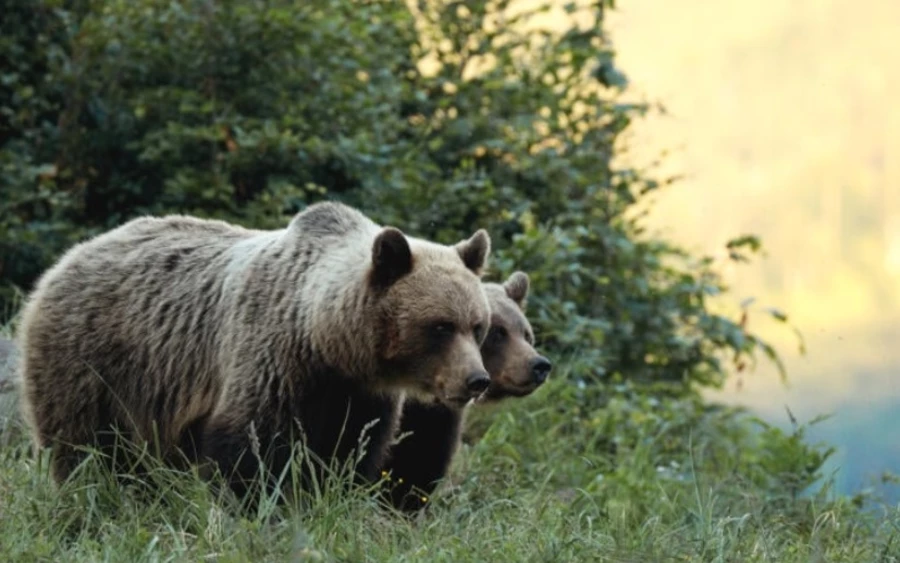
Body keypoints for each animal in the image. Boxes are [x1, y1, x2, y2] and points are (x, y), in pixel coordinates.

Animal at [14, 202, 492, 502]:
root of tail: (69, 256)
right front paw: (258, 507)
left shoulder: (354, 394)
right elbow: (251, 446)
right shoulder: (272, 354)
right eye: (440, 326)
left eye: (477, 325)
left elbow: (351, 452)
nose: (476, 380)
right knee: (87, 447)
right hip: (94, 360)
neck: (325, 338)